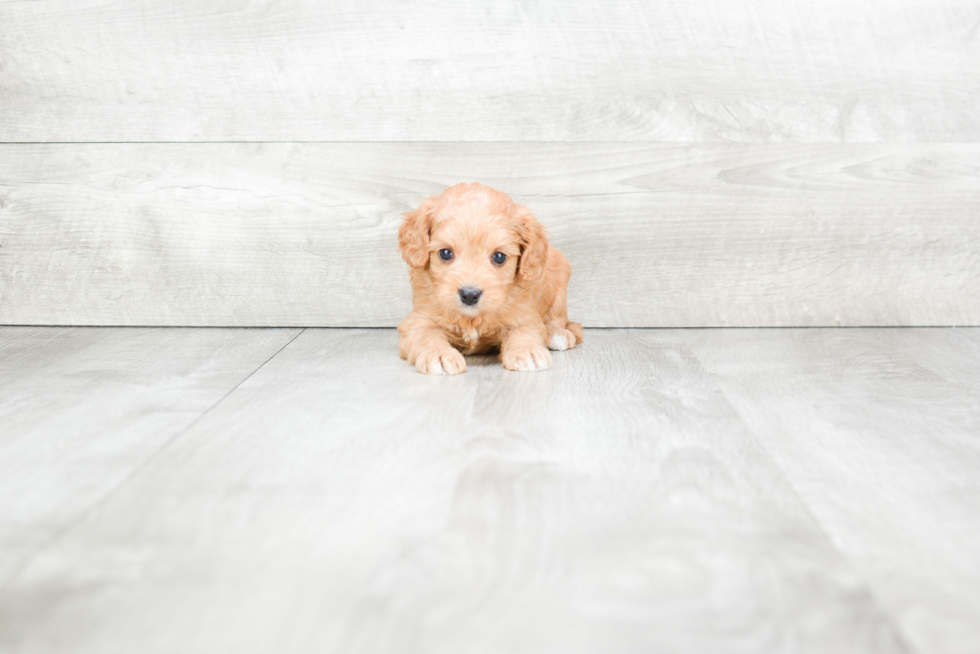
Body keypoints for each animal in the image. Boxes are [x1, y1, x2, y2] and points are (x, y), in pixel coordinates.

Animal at [398, 182, 580, 376]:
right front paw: (440, 355)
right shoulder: (419, 319)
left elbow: (524, 332)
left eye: (499, 257)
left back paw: (557, 335)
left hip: (560, 281)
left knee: (556, 318)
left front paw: (527, 351)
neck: (472, 318)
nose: (470, 295)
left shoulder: (525, 316)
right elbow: (426, 335)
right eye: (445, 253)